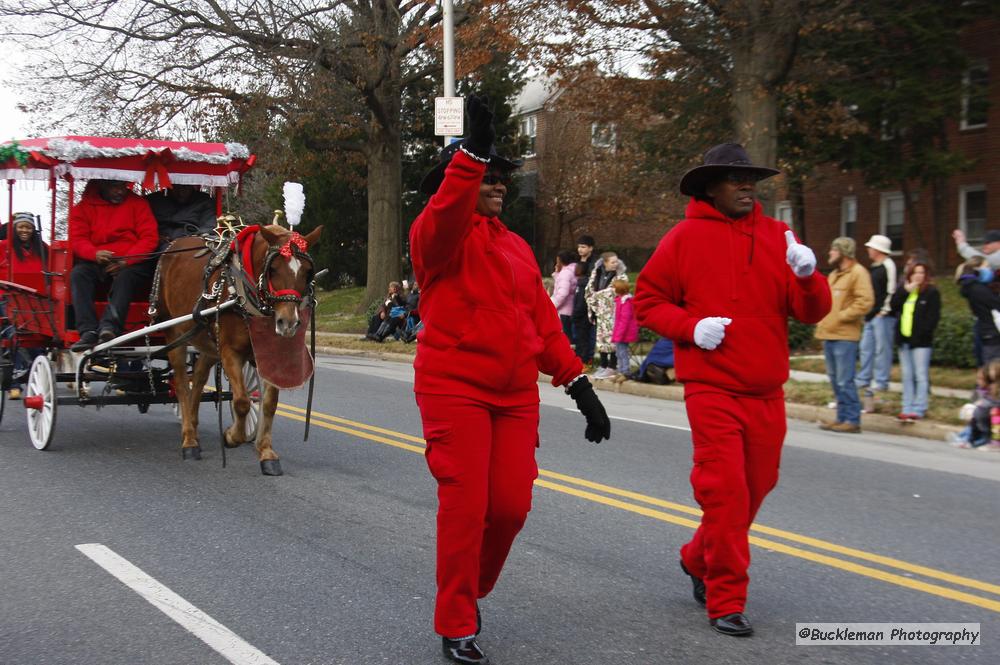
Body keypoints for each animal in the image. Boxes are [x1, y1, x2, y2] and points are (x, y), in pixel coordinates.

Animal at [157, 226, 320, 474]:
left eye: (308, 272)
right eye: (273, 269)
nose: (288, 323)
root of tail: (173, 244)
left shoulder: (269, 354)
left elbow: (269, 404)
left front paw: (266, 452)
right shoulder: (230, 352)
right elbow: (242, 401)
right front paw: (232, 436)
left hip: (207, 341)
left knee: (199, 379)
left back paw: (193, 427)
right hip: (174, 334)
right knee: (183, 386)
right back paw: (189, 440)